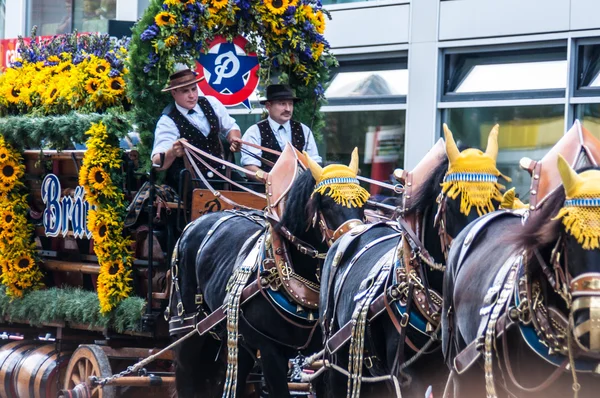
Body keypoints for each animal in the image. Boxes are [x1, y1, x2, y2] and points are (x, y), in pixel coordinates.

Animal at [166, 148, 368, 398]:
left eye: (363, 203)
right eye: (327, 204)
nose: (357, 239)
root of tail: (194, 223)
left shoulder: (322, 355)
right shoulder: (270, 351)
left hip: (236, 337)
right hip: (188, 327)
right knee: (187, 376)